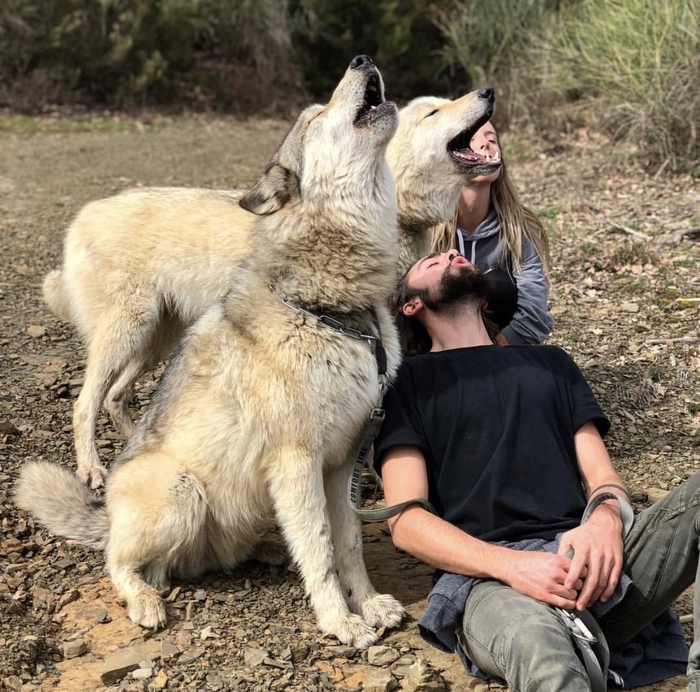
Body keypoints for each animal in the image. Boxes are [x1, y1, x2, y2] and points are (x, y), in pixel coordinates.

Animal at [16, 55, 404, 648]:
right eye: (315, 117)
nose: (360, 60)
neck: (335, 310)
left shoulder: (344, 464)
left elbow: (349, 544)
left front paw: (370, 604)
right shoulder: (299, 461)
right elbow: (319, 546)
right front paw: (340, 621)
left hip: (157, 346)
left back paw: (264, 552)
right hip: (176, 476)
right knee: (117, 556)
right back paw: (143, 597)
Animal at [42, 82, 498, 492]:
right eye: (432, 112)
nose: (488, 91)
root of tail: (82, 216)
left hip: (156, 339)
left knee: (116, 397)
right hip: (126, 334)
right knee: (85, 404)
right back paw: (92, 470)